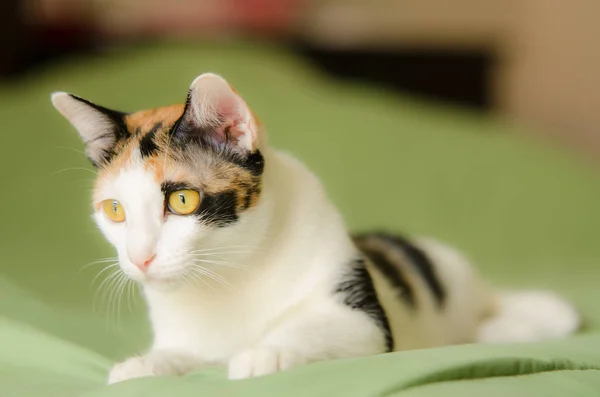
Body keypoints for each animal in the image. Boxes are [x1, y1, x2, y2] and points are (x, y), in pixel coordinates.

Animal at [52, 72, 580, 382]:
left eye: (182, 200)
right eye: (115, 210)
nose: (139, 258)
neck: (229, 276)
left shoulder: (362, 320)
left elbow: (308, 326)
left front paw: (265, 351)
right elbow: (182, 352)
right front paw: (146, 365)